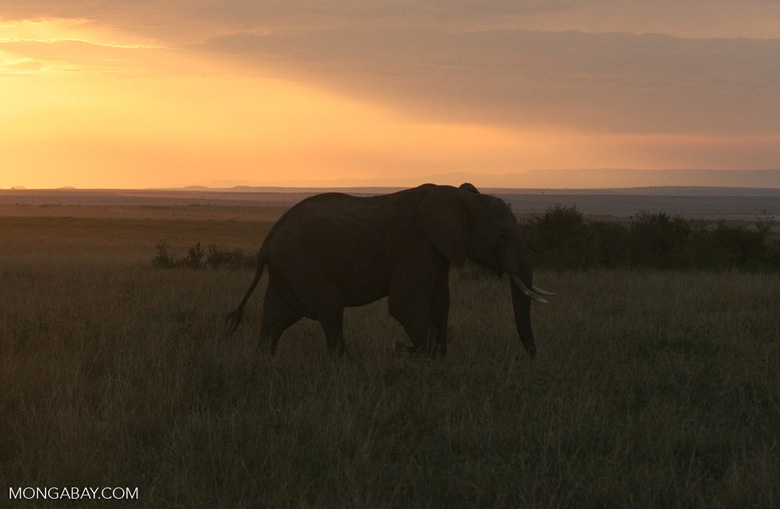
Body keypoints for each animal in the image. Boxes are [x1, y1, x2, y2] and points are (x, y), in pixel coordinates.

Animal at [227, 183, 556, 358]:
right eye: (502, 235)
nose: (532, 358)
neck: (457, 195)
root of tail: (267, 242)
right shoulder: (416, 245)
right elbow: (405, 304)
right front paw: (417, 355)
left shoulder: (438, 250)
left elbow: (441, 303)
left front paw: (435, 359)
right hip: (305, 264)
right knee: (330, 310)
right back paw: (345, 368)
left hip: (290, 270)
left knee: (275, 318)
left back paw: (264, 364)